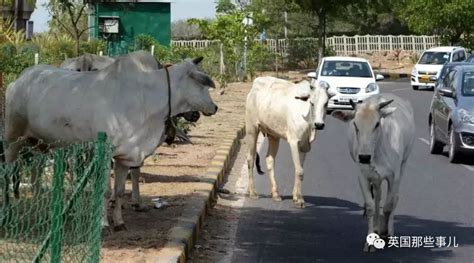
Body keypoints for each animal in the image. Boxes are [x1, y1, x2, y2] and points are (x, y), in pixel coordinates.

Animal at [5, 56, 218, 231]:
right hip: (13, 140)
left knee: (36, 172)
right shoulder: (105, 154)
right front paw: (103, 223)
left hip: (38, 144)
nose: (214, 107)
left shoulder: (126, 156)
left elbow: (120, 191)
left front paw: (119, 222)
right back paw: (9, 212)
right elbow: (106, 191)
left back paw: (43, 208)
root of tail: (18, 80)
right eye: (202, 84)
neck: (146, 96)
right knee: (7, 173)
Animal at [244, 76, 334, 208]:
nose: (319, 124)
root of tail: (254, 85)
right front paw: (300, 199)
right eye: (311, 103)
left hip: (273, 135)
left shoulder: (304, 146)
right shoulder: (294, 142)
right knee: (250, 158)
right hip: (252, 129)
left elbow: (299, 170)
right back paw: (252, 192)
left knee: (269, 160)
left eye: (326, 103)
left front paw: (296, 196)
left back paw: (275, 194)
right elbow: (300, 171)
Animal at [330, 94, 414, 253]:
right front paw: (370, 241)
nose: (364, 157)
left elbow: (388, 206)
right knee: (377, 199)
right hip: (375, 179)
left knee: (394, 198)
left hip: (404, 164)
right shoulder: (363, 176)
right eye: (355, 125)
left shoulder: (394, 176)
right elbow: (370, 207)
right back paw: (375, 229)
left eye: (376, 124)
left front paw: (385, 234)